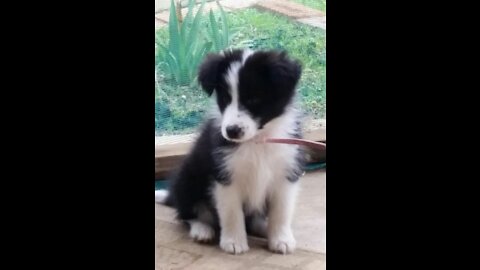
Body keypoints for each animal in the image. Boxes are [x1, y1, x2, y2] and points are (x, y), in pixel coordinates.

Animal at [157, 49, 304, 254]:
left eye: (254, 99)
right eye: (226, 99)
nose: (231, 131)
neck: (256, 141)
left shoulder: (286, 173)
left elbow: (281, 211)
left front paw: (281, 240)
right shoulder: (225, 176)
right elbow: (232, 212)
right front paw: (234, 242)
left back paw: (262, 228)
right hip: (188, 177)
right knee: (187, 213)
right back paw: (202, 229)